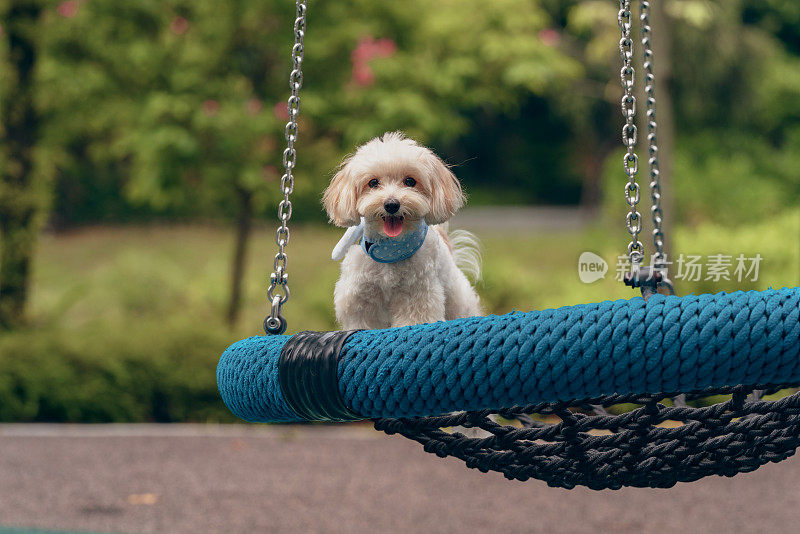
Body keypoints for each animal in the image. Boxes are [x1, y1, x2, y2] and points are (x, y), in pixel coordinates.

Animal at [324, 132, 482, 330]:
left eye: (410, 181)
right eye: (373, 183)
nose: (391, 204)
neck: (391, 249)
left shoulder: (416, 293)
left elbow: (414, 318)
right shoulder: (361, 296)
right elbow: (363, 320)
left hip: (458, 301)